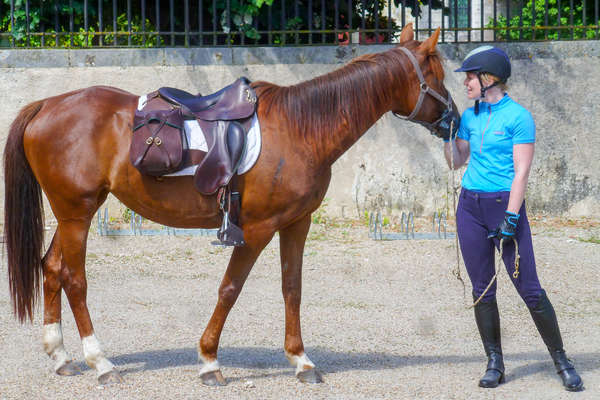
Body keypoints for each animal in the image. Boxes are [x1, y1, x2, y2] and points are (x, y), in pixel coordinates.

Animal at [2, 23, 458, 386]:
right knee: (75, 279)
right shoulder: (256, 229)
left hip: (75, 212)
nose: (454, 119)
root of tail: (47, 105)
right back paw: (101, 363)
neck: (300, 128)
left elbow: (292, 288)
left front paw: (301, 360)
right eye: (435, 74)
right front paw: (209, 361)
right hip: (77, 213)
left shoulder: (297, 223)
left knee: (51, 268)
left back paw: (61, 356)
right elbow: (230, 289)